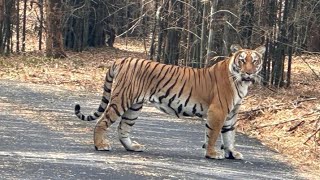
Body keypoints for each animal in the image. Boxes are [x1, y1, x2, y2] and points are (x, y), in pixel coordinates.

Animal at [74, 44, 264, 160]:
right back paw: (100, 145)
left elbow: (230, 135)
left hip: (134, 106)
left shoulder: (231, 113)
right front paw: (212, 153)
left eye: (254, 61)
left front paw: (232, 153)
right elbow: (214, 134)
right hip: (122, 99)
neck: (241, 83)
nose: (249, 73)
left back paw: (132, 147)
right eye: (242, 60)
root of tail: (122, 59)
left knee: (123, 128)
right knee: (102, 122)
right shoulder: (218, 111)